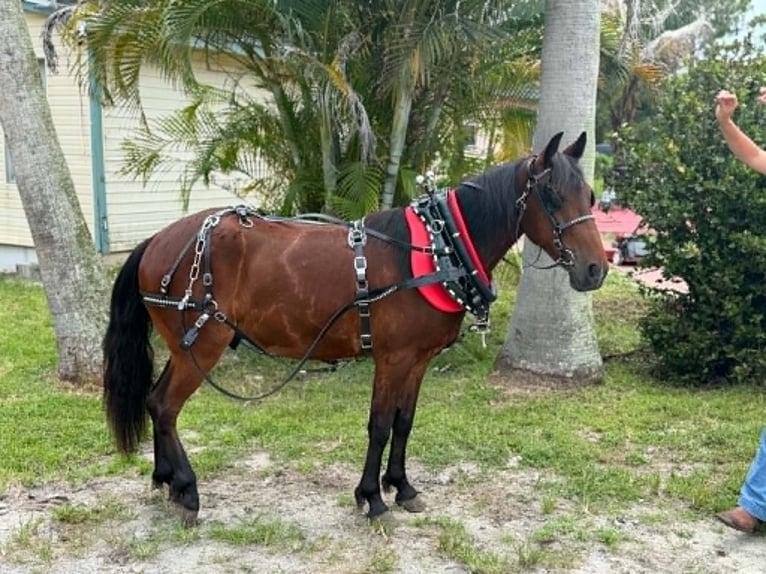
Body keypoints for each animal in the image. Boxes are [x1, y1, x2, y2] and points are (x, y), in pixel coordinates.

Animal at [102, 131, 608, 525]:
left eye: (591, 197)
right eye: (553, 196)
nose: (595, 270)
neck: (436, 248)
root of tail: (157, 241)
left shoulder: (418, 361)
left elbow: (404, 423)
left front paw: (402, 487)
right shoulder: (392, 358)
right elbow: (380, 425)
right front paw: (372, 498)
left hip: (184, 348)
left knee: (154, 402)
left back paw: (166, 480)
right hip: (202, 346)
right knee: (166, 407)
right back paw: (187, 491)